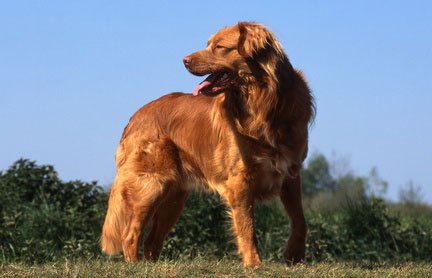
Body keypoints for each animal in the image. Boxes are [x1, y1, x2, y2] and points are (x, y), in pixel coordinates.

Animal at [103, 22, 316, 268]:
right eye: (208, 44)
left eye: (219, 47)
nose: (184, 60)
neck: (262, 104)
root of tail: (135, 116)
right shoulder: (240, 179)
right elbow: (247, 226)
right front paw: (253, 263)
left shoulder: (290, 172)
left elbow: (300, 219)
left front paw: (294, 255)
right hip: (152, 184)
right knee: (130, 233)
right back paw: (136, 265)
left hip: (174, 197)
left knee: (151, 240)